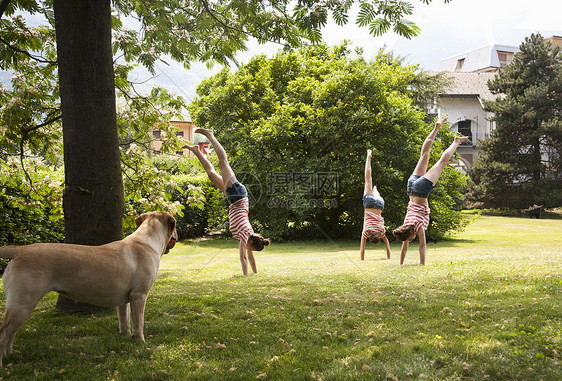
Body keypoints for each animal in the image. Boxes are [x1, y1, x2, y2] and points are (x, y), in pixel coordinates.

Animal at [0, 209, 176, 364]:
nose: (177, 235)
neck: (146, 240)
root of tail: (20, 249)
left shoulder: (125, 300)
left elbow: (124, 320)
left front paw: (125, 336)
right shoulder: (139, 295)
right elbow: (138, 323)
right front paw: (140, 342)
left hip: (19, 305)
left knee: (10, 335)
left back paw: (10, 356)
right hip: (23, 303)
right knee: (4, 335)